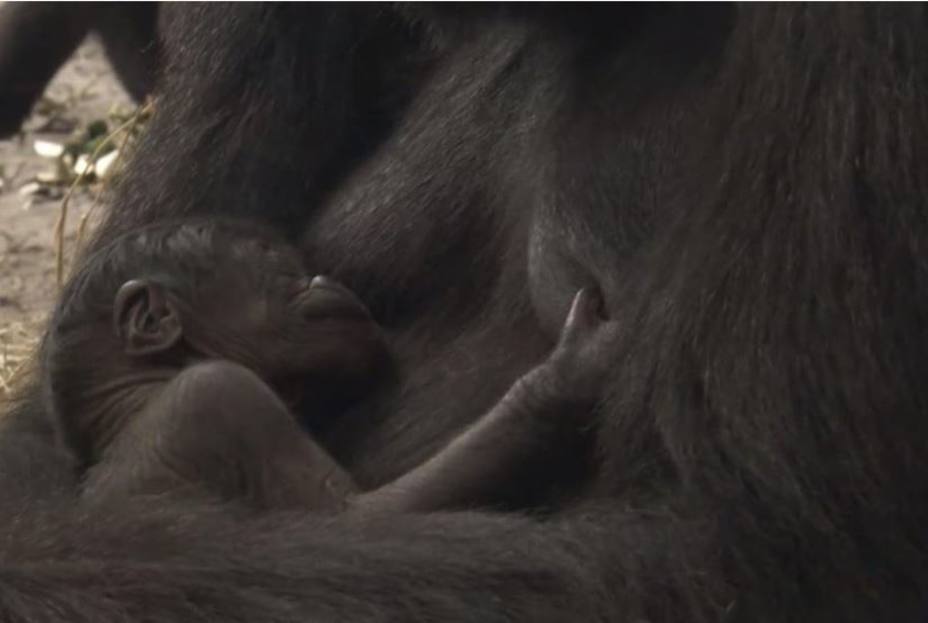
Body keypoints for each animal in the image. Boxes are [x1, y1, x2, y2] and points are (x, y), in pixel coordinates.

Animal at [41, 219, 616, 512]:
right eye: (276, 266)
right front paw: (564, 377)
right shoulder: (221, 399)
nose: (319, 278)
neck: (140, 391)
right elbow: (354, 518)